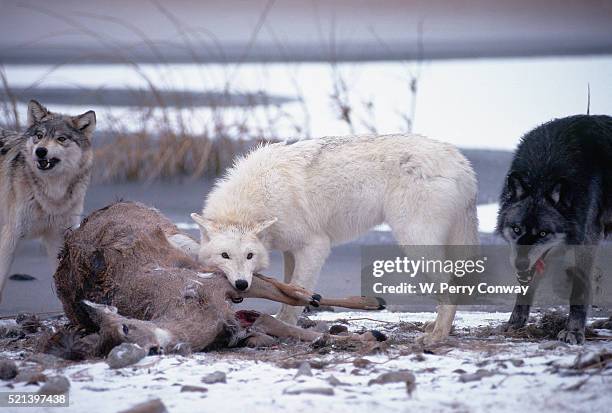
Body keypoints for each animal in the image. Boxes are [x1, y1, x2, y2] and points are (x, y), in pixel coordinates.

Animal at [0, 100, 96, 300]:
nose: (40, 151)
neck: (52, 196)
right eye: (39, 136)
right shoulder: (10, 236)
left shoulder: (58, 238)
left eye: (61, 139)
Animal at [53, 201, 388, 356]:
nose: (151, 350)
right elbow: (279, 325)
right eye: (106, 343)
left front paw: (370, 329)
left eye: (126, 327)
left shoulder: (215, 281)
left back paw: (367, 301)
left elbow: (280, 296)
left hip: (185, 244)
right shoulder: (239, 315)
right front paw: (367, 336)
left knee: (278, 286)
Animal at [182, 134, 478, 342]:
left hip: (414, 241)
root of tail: (461, 162)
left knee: (450, 287)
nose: (242, 285)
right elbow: (287, 288)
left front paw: (283, 324)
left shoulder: (315, 246)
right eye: (225, 256)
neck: (257, 199)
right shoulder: (290, 250)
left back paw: (437, 335)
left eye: (249, 256)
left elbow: (296, 294)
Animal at [498, 114, 612, 342]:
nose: (520, 263)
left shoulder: (587, 241)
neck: (544, 171)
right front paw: (515, 323)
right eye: (516, 229)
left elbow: (579, 292)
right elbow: (524, 289)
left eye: (543, 233)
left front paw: (573, 331)